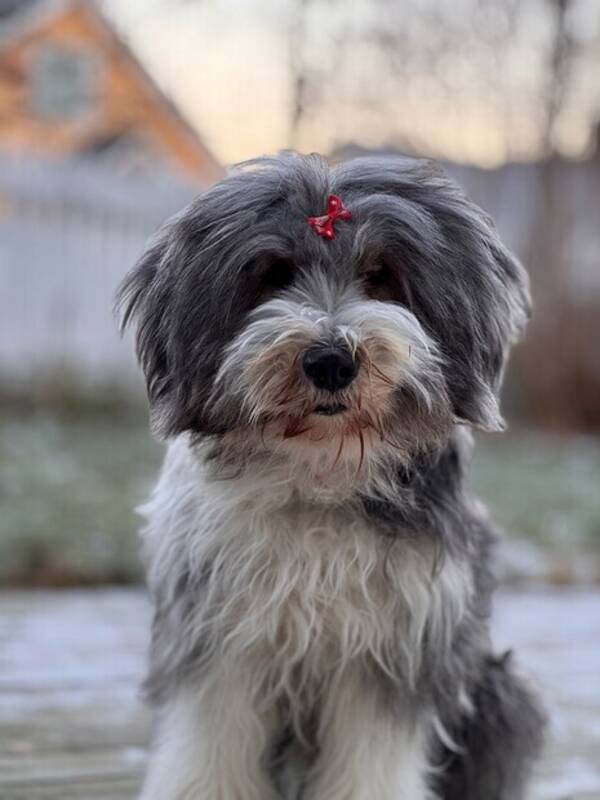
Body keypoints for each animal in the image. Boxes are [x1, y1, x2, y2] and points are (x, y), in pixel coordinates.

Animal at [116, 152, 544, 800]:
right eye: (272, 274)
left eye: (382, 274)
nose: (331, 361)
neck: (322, 473)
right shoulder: (220, 633)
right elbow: (211, 742)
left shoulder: (394, 645)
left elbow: (372, 756)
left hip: (503, 695)